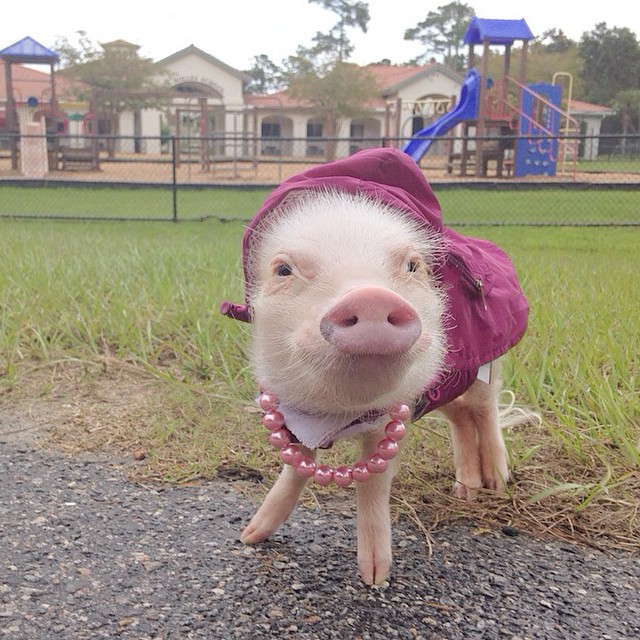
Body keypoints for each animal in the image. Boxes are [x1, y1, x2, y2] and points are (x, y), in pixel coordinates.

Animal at [220, 147, 528, 586]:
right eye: (283, 269)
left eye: (413, 266)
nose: (369, 297)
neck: (339, 415)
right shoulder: (290, 410)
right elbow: (297, 468)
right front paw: (250, 536)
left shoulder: (393, 418)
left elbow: (374, 484)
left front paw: (374, 577)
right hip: (447, 382)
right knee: (461, 420)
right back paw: (465, 490)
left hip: (486, 367)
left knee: (485, 411)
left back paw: (497, 483)